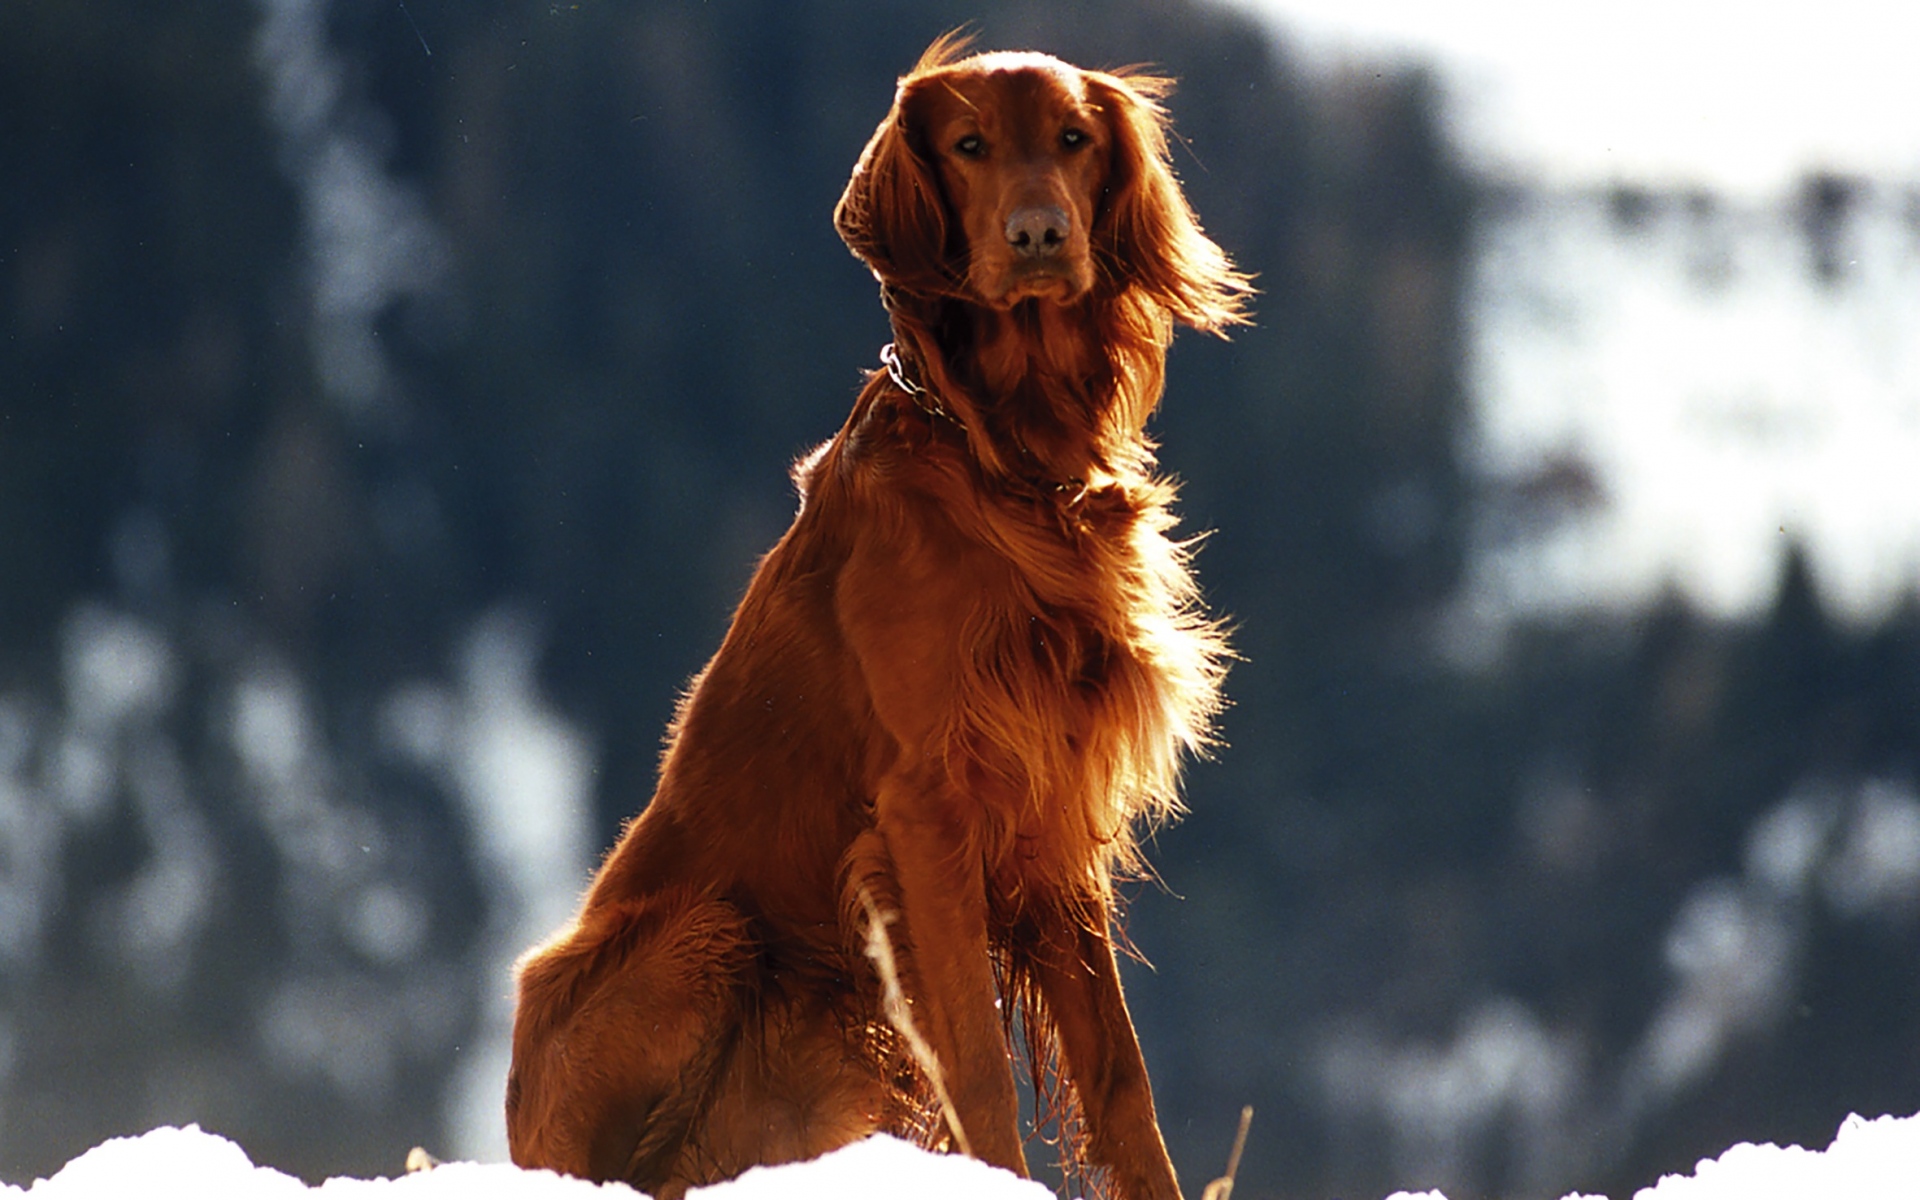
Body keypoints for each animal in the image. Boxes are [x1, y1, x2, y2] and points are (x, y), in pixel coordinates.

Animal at [510, 35, 1251, 1198]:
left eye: (1074, 140)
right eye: (970, 145)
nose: (1038, 237)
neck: (1008, 462)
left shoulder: (1056, 816)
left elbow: (1123, 1086)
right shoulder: (926, 809)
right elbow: (981, 1073)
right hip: (705, 936)